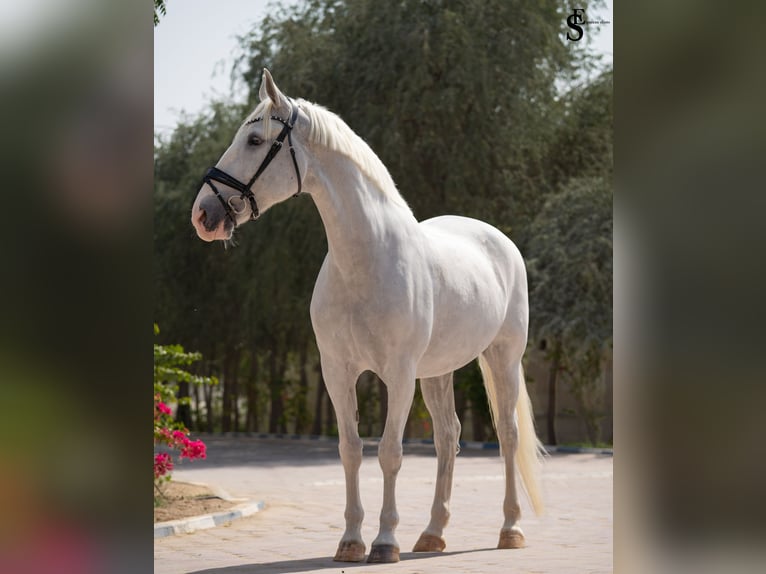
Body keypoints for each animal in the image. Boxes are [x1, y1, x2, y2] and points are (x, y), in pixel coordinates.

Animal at [191, 69, 544, 564]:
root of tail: (499, 240)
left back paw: (510, 529)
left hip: (502, 357)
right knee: (448, 438)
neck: (366, 259)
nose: (204, 215)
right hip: (438, 372)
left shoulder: (398, 375)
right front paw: (351, 541)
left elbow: (390, 452)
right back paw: (432, 534)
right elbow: (351, 450)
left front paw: (384, 542)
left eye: (256, 140)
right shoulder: (337, 372)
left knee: (508, 435)